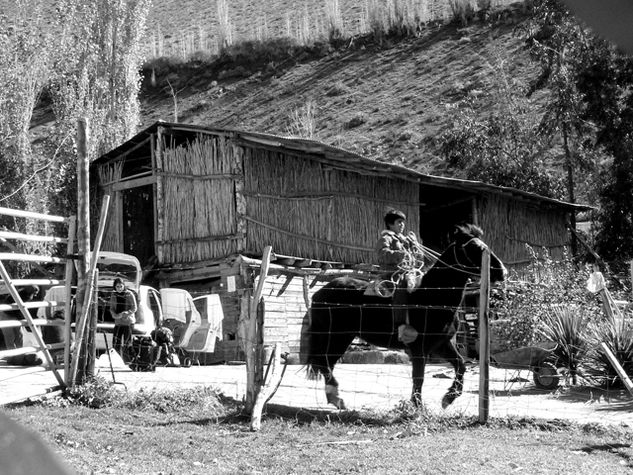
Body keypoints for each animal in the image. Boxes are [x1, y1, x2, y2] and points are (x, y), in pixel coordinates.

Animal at [300, 223, 504, 410]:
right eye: (474, 247)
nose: (502, 271)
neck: (432, 296)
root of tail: (319, 294)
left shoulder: (441, 344)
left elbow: (461, 365)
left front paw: (448, 398)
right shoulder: (419, 348)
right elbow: (419, 377)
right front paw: (417, 406)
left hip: (340, 338)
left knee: (327, 363)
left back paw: (335, 398)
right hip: (336, 337)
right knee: (324, 363)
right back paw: (337, 399)